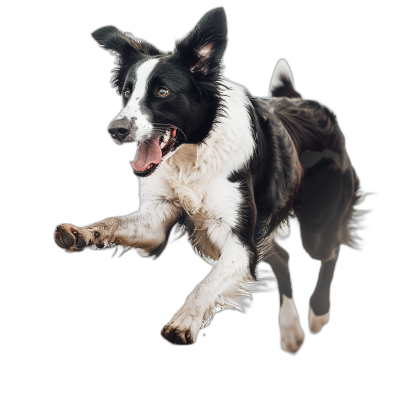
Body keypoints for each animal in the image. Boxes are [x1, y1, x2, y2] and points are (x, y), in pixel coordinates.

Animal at [54, 7, 366, 354]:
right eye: (126, 93)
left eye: (162, 92)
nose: (115, 130)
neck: (195, 155)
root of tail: (303, 100)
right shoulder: (157, 219)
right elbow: (113, 223)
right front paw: (81, 233)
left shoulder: (239, 241)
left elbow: (206, 286)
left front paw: (183, 322)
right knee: (282, 257)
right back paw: (290, 330)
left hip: (317, 227)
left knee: (328, 253)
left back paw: (317, 314)